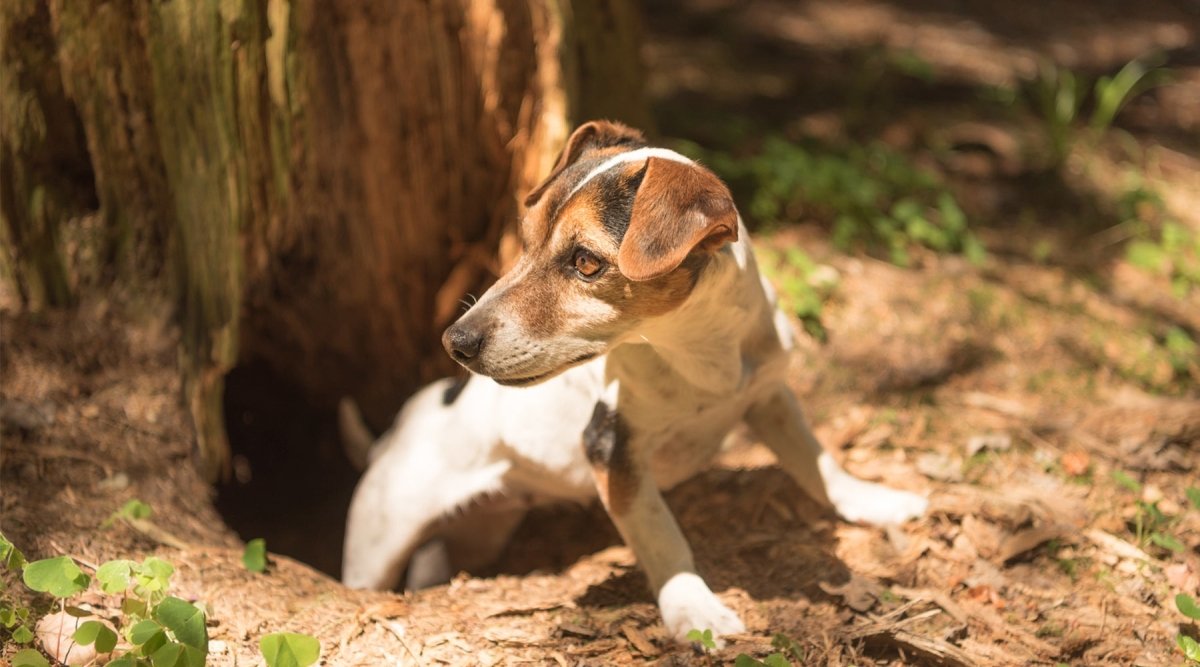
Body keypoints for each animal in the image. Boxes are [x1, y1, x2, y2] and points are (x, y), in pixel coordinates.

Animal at [340, 121, 926, 647]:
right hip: (379, 541)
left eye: (585, 262)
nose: (454, 342)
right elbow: (663, 536)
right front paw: (694, 612)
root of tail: (392, 434)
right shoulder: (613, 449)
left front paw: (873, 500)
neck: (700, 353)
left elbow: (816, 461)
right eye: (524, 242)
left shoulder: (768, 397)